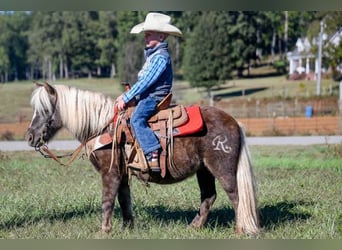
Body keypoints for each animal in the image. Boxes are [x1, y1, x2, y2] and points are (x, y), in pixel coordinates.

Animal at [26, 82, 260, 234]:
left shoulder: (110, 173)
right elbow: (124, 200)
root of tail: (234, 122)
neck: (103, 127)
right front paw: (128, 228)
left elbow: (107, 201)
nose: (29, 136)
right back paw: (194, 227)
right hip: (204, 170)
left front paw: (104, 230)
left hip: (222, 169)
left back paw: (242, 229)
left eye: (45, 109)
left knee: (236, 197)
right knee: (209, 196)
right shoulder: (121, 174)